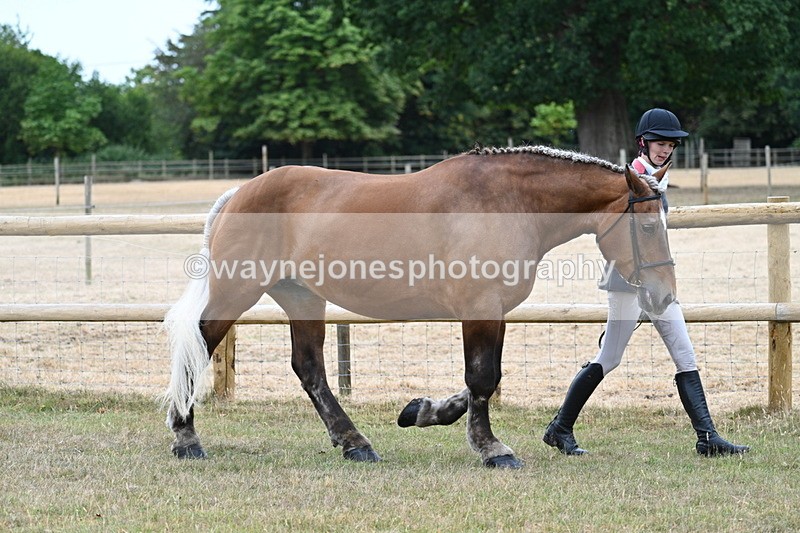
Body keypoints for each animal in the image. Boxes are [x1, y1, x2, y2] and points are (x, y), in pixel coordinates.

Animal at [163, 145, 676, 469]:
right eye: (649, 227)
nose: (664, 294)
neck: (507, 202)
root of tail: (241, 193)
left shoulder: (495, 311)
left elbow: (481, 381)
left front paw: (423, 411)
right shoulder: (480, 308)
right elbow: (482, 379)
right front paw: (493, 450)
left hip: (302, 297)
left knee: (310, 369)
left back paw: (355, 444)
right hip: (236, 292)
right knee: (200, 348)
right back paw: (186, 438)